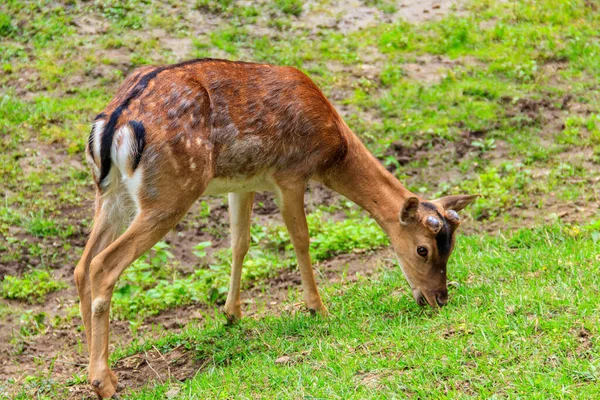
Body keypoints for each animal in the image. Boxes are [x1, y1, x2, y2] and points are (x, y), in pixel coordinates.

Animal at [75, 57, 476, 398]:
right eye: (423, 249)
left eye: (452, 246)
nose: (439, 299)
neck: (334, 149)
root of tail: (114, 126)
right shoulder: (291, 174)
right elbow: (301, 239)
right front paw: (318, 308)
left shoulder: (243, 182)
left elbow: (240, 242)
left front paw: (232, 314)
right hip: (170, 192)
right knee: (104, 264)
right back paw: (102, 383)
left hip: (111, 194)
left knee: (82, 266)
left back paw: (103, 371)